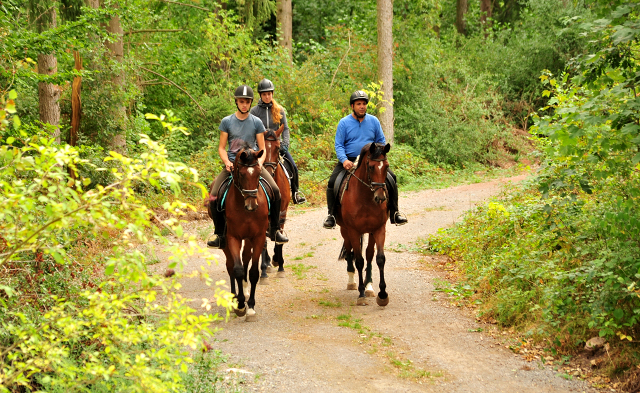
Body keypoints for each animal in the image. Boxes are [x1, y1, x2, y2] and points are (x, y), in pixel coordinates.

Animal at [336, 143, 390, 306]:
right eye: (371, 167)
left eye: (386, 166)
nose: (380, 198)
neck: (366, 198)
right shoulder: (353, 230)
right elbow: (359, 260)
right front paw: (361, 294)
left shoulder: (378, 229)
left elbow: (379, 258)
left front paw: (382, 294)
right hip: (345, 230)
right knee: (349, 251)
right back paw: (352, 281)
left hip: (370, 232)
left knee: (369, 254)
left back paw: (369, 287)